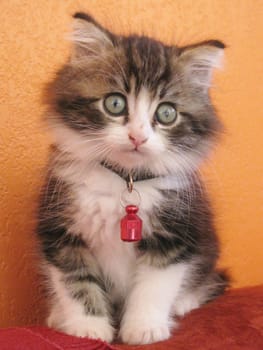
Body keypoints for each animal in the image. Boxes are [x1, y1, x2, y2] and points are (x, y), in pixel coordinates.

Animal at [38, 13, 230, 344]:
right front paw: (87, 328)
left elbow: (154, 287)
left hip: (207, 243)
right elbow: (77, 283)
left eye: (167, 113)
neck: (123, 180)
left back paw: (183, 301)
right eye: (115, 104)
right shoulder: (62, 231)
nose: (137, 136)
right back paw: (59, 315)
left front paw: (144, 328)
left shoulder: (175, 235)